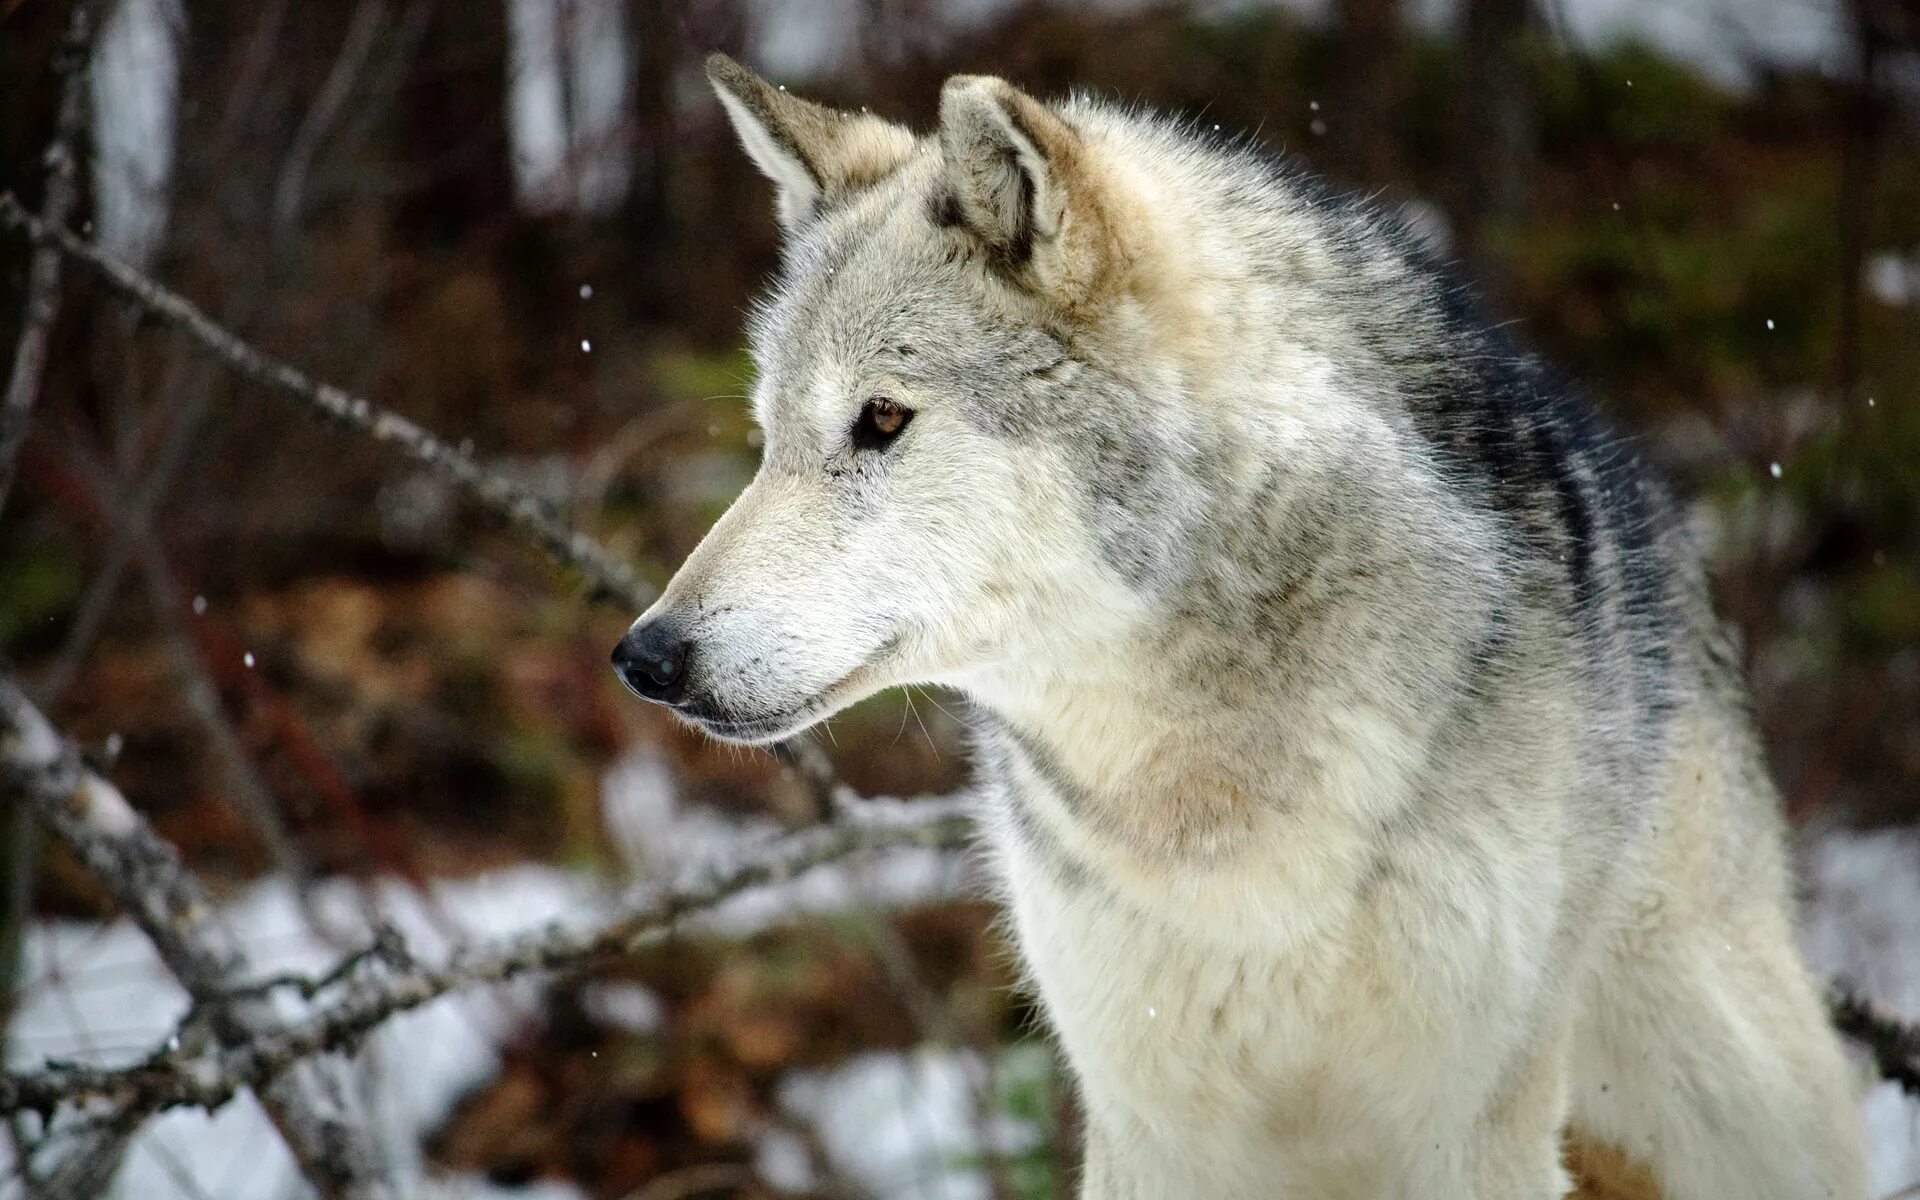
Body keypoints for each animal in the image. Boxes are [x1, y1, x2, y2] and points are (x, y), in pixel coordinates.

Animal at [610, 53, 1858, 1198]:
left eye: (880, 420)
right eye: (768, 438)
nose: (645, 658)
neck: (1221, 817)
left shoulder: (1472, 1123)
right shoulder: (1147, 1122)